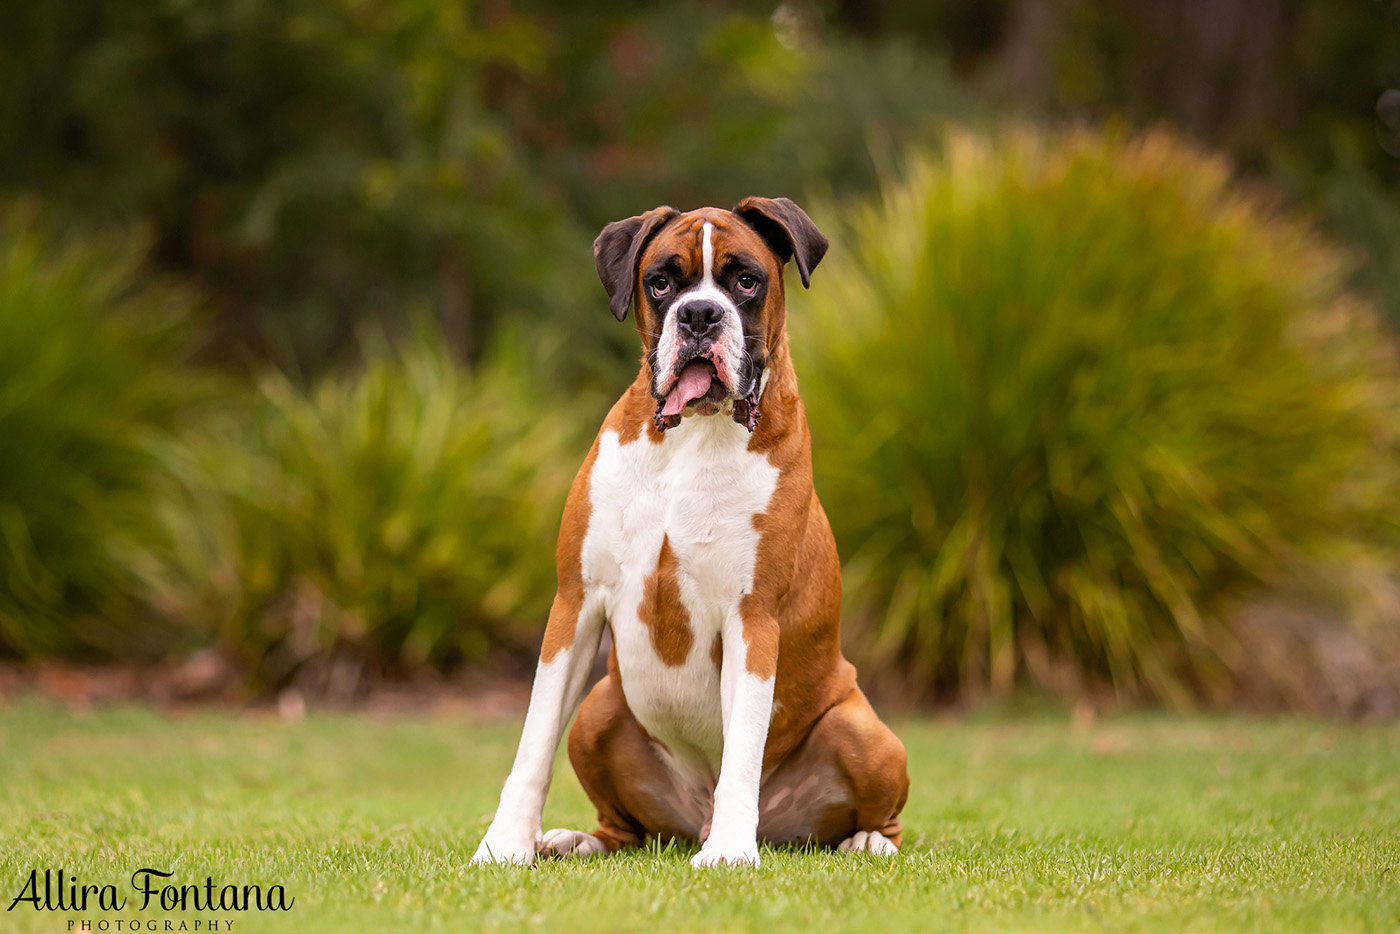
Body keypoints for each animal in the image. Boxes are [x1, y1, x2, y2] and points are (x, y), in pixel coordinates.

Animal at [470, 197, 907, 868]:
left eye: (747, 280)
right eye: (661, 283)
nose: (700, 314)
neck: (691, 435)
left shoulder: (752, 618)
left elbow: (743, 749)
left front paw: (729, 852)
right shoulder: (575, 603)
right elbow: (533, 742)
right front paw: (505, 843)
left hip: (862, 731)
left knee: (880, 818)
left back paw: (863, 840)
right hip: (598, 709)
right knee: (626, 828)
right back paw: (577, 841)